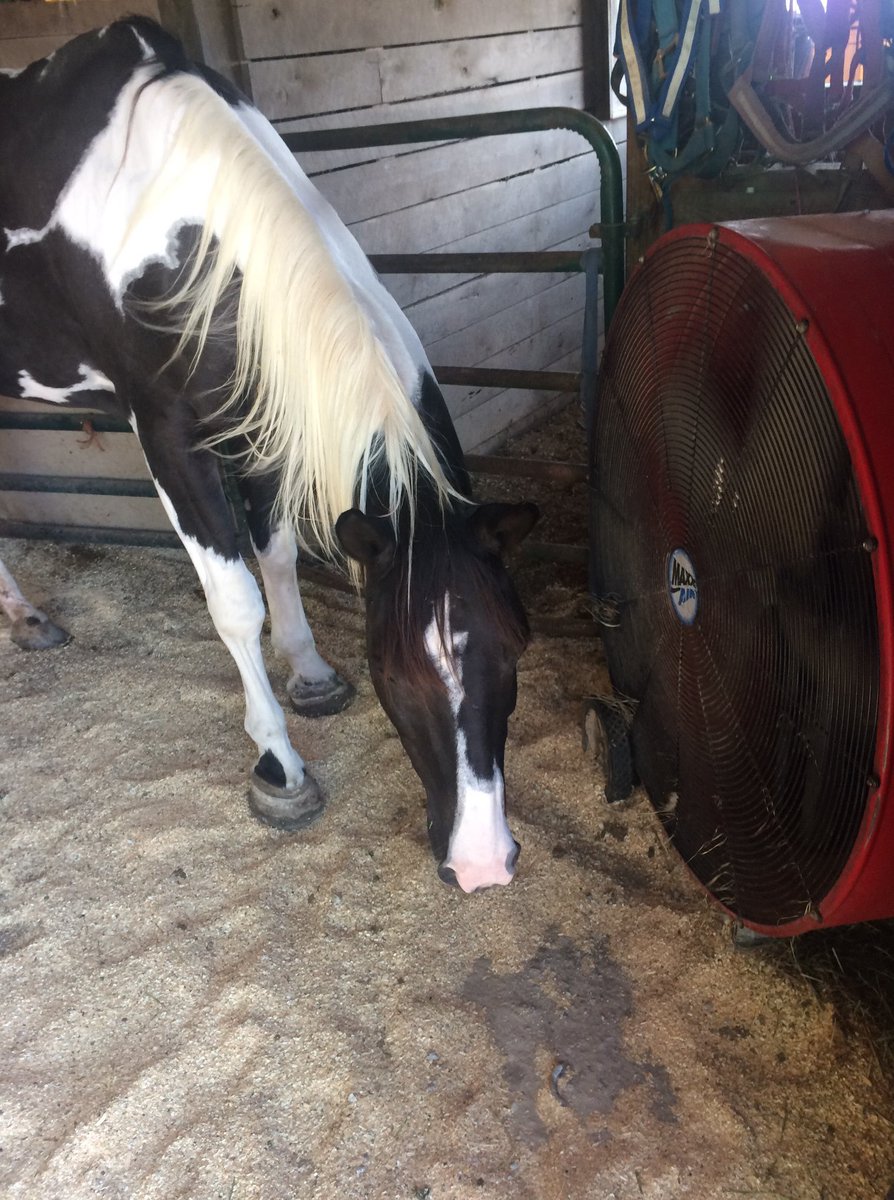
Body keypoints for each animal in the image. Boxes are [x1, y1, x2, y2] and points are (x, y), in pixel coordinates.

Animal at [0, 18, 537, 892]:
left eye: (515, 648)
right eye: (394, 671)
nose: (483, 864)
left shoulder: (264, 417)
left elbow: (278, 557)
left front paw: (310, 674)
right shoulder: (169, 435)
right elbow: (235, 602)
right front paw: (280, 764)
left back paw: (27, 617)